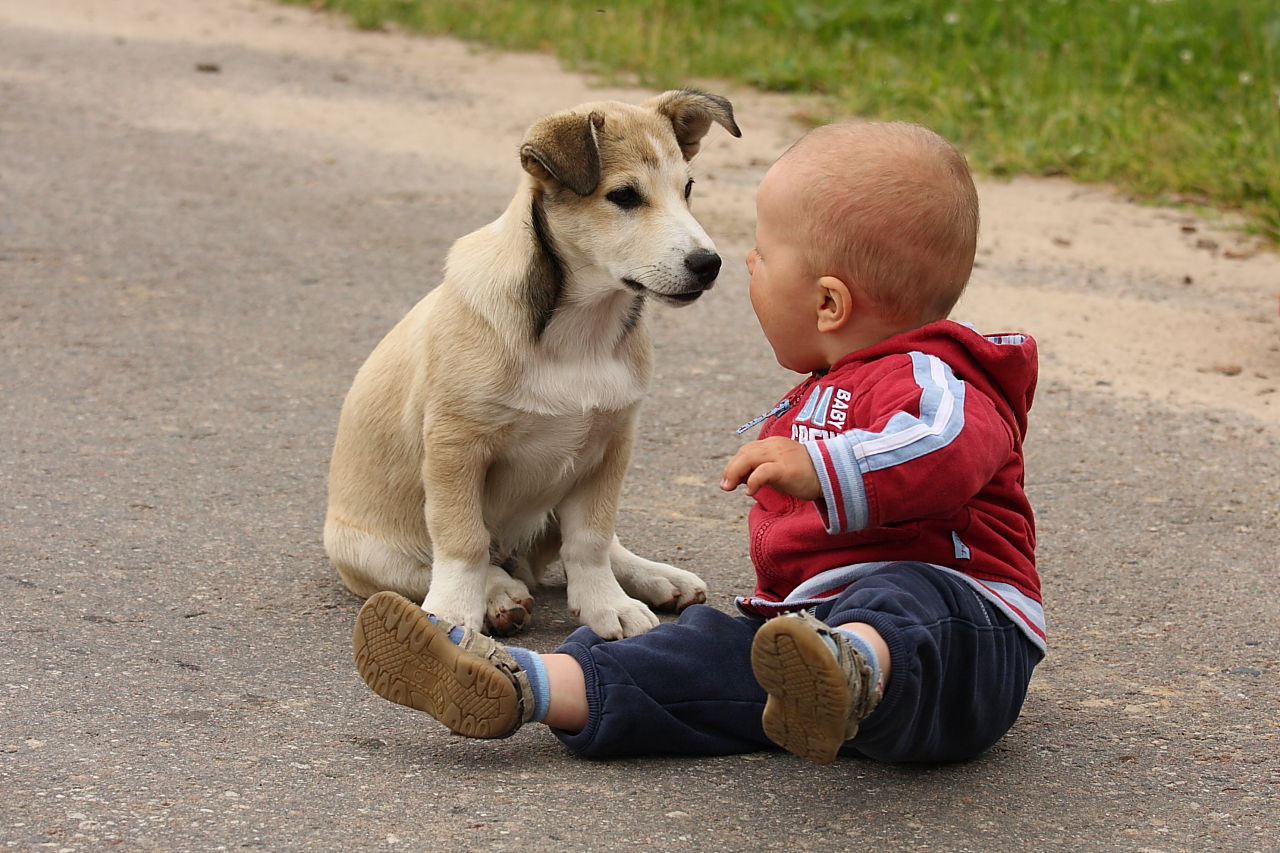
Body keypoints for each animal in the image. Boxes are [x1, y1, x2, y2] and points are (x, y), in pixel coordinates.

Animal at [325, 91, 742, 637]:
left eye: (688, 189)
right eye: (624, 196)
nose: (709, 265)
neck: (579, 329)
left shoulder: (612, 443)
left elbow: (591, 539)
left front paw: (607, 603)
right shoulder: (455, 446)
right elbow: (461, 540)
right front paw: (455, 613)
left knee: (597, 544)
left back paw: (653, 577)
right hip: (367, 551)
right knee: (435, 563)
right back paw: (498, 594)